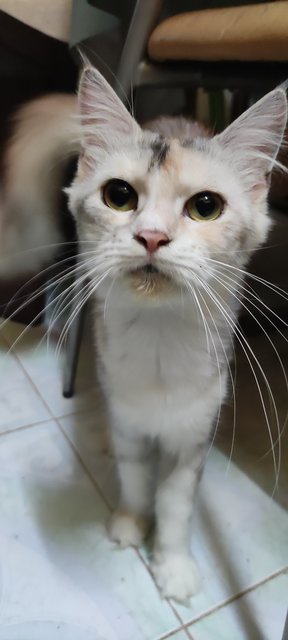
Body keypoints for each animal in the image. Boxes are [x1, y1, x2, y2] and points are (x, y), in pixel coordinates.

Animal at [1, 66, 286, 604]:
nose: (151, 236)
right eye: (119, 196)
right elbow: (134, 479)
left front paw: (172, 566)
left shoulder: (193, 435)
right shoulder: (128, 420)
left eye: (205, 207)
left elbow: (175, 506)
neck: (159, 338)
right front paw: (130, 525)